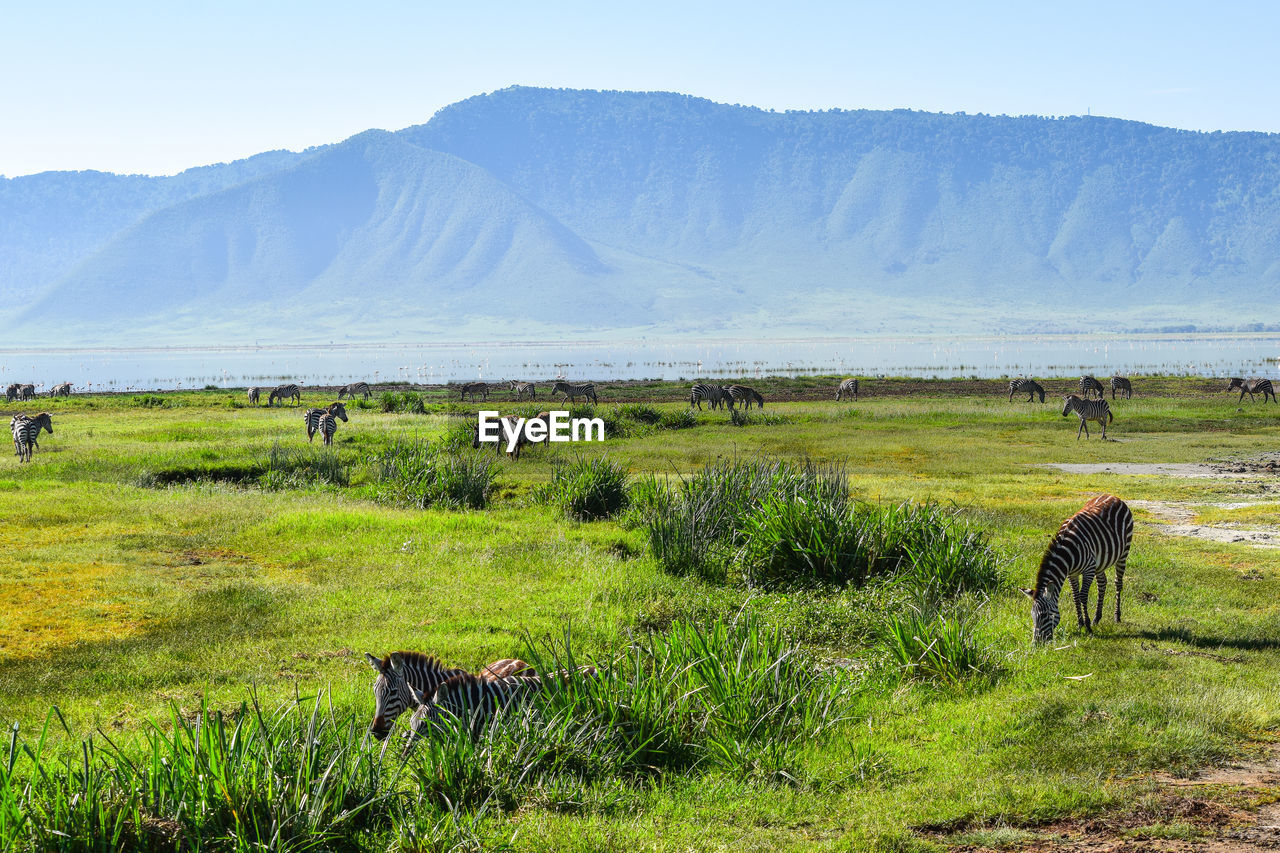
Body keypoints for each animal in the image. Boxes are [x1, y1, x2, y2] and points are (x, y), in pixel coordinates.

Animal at [1024, 489, 1136, 640]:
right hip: (1100, 561)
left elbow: (1083, 596)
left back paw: (1117, 616)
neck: (1068, 552)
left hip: (1123, 553)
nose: (1037, 642)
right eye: (1032, 616)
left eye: (1046, 615)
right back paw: (1097, 618)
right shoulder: (1072, 573)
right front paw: (1080, 623)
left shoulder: (1088, 569)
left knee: (1118, 583)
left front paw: (1087, 626)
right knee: (1102, 583)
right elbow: (1076, 596)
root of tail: (1113, 496)